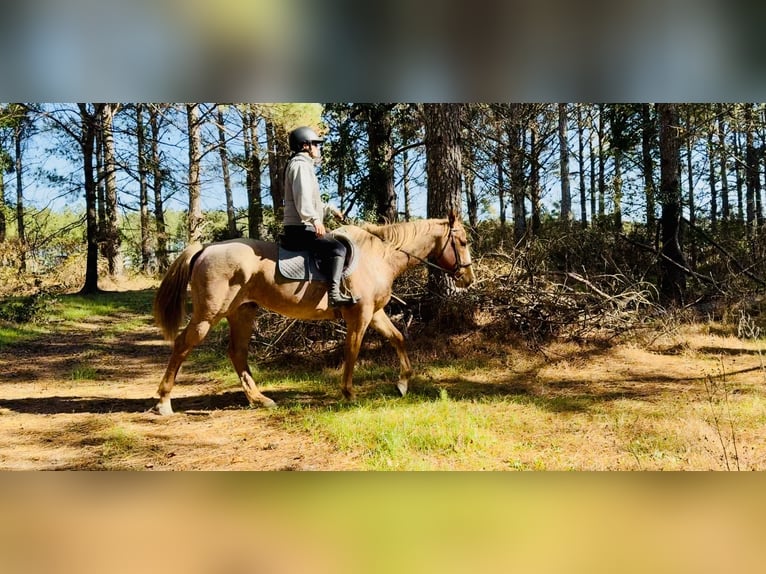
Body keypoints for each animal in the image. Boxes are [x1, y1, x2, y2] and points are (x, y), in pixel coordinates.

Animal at [151, 212, 475, 415]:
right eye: (462, 242)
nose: (468, 279)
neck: (379, 257)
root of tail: (205, 249)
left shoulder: (375, 313)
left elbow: (398, 339)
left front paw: (403, 383)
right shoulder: (360, 316)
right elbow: (353, 350)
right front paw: (349, 392)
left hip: (242, 313)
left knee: (237, 353)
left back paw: (259, 399)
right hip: (210, 314)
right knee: (183, 344)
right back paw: (164, 401)